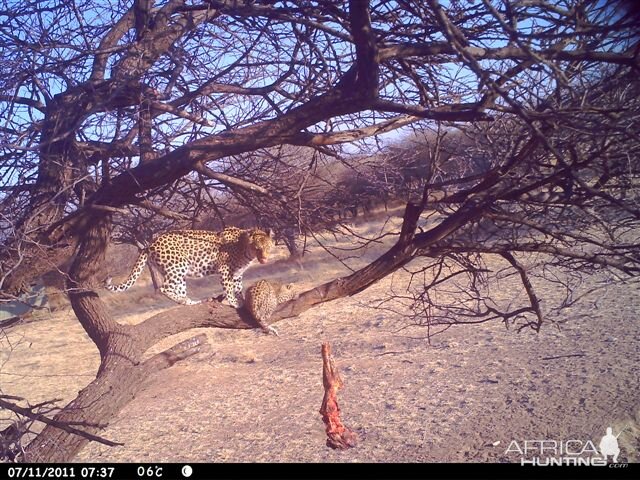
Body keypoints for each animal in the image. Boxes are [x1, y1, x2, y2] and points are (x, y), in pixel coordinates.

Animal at [104, 226, 272, 308]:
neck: (244, 247)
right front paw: (235, 303)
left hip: (177, 273)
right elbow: (229, 289)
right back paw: (185, 300)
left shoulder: (237, 274)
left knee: (178, 289)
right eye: (257, 248)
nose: (264, 258)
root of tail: (150, 244)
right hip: (178, 266)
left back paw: (189, 301)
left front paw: (242, 300)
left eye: (268, 247)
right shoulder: (225, 270)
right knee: (164, 288)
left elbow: (238, 288)